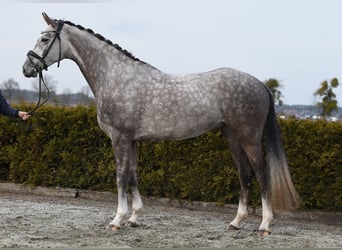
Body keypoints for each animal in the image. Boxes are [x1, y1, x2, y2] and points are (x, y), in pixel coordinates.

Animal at [22, 13, 300, 236]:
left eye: (45, 39)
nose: (27, 68)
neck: (116, 77)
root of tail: (260, 83)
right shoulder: (132, 140)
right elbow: (133, 175)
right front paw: (134, 217)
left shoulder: (120, 138)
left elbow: (120, 177)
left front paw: (117, 220)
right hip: (232, 137)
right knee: (245, 174)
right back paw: (236, 222)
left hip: (249, 138)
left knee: (262, 174)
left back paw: (264, 226)